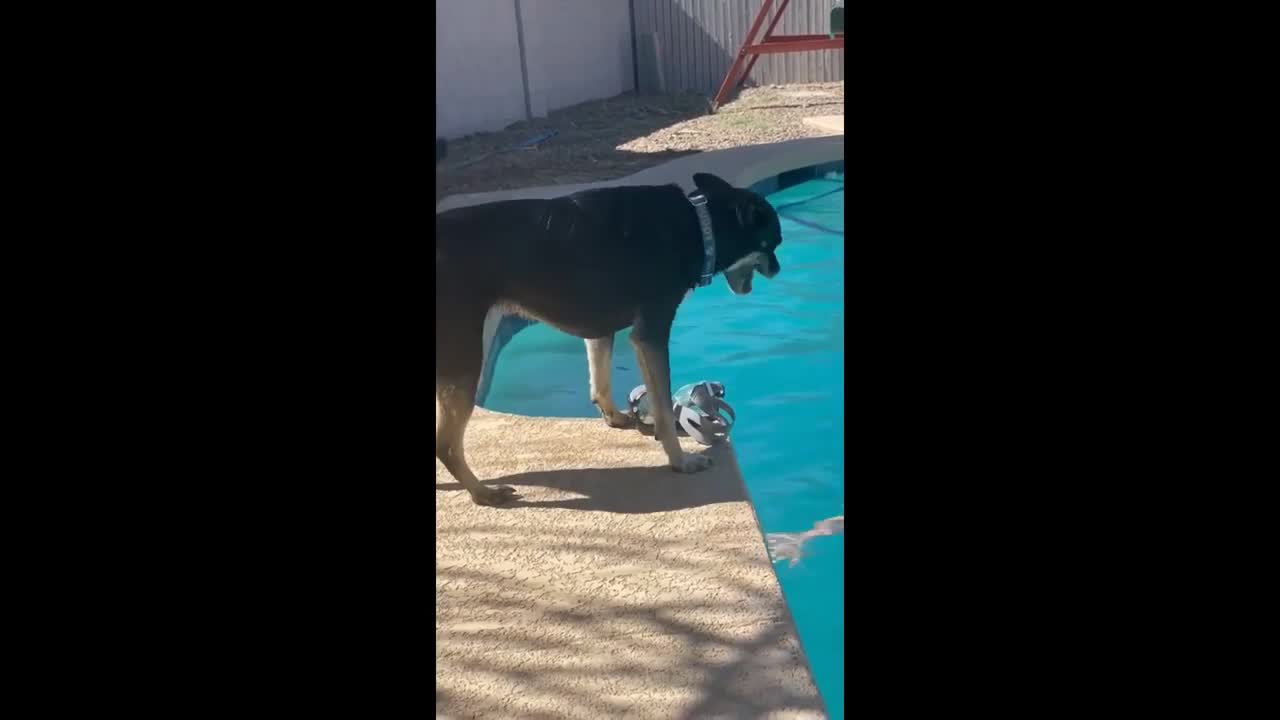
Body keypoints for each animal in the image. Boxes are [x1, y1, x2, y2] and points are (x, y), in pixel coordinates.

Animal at [437, 172, 778, 504]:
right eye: (773, 243)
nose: (777, 268)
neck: (698, 222)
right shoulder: (651, 333)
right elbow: (664, 410)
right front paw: (680, 461)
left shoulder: (600, 329)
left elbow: (600, 379)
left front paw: (613, 417)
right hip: (466, 359)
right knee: (447, 444)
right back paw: (483, 493)